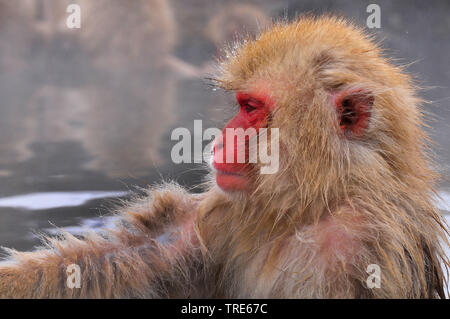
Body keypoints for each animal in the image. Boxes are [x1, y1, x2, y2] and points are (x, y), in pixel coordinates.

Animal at [0, 15, 450, 300]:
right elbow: (135, 254)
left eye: (251, 108)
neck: (314, 205)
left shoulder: (361, 245)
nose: (220, 139)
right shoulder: (228, 213)